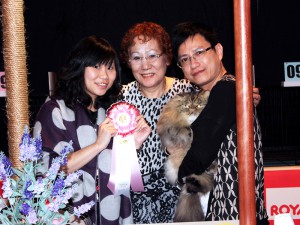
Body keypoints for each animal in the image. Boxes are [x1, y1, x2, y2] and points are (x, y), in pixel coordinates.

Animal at [156, 90, 217, 222]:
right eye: (187, 106)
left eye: (198, 105)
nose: (193, 110)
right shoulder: (170, 126)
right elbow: (179, 129)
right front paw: (187, 132)